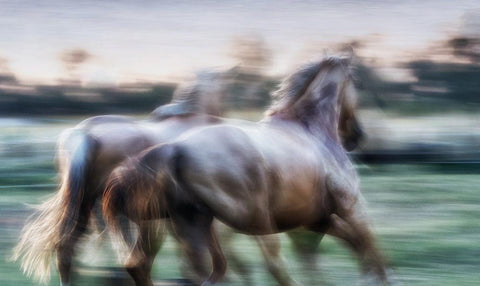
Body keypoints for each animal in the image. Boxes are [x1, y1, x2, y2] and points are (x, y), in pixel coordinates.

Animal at [102, 55, 382, 286]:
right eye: (356, 82)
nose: (357, 136)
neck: (311, 129)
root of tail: (174, 149)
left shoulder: (317, 220)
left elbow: (355, 248)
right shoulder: (352, 207)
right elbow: (371, 251)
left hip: (189, 224)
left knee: (164, 267)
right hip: (253, 222)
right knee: (268, 267)